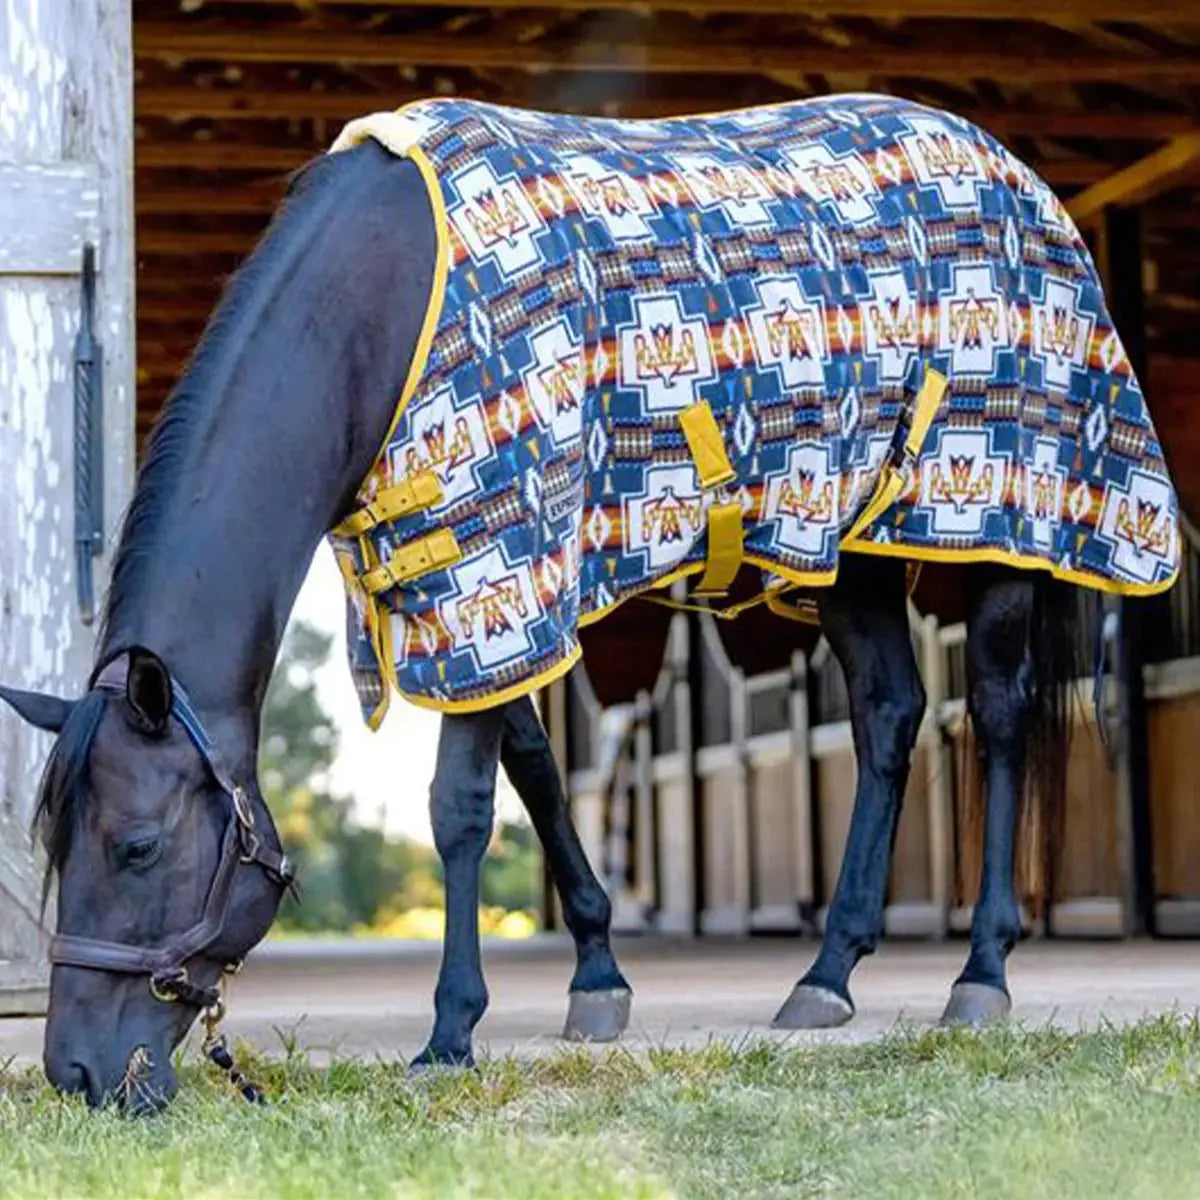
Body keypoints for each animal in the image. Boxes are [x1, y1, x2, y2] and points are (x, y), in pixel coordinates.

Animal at [0, 93, 1177, 1109]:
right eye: (51, 846)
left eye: (136, 847)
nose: (78, 1075)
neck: (382, 308)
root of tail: (1016, 171)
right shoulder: (480, 598)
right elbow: (536, 770)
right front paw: (598, 978)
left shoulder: (499, 555)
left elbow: (461, 810)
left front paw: (450, 1032)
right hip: (850, 548)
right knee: (890, 714)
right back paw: (828, 974)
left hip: (1005, 522)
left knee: (998, 713)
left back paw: (981, 974)